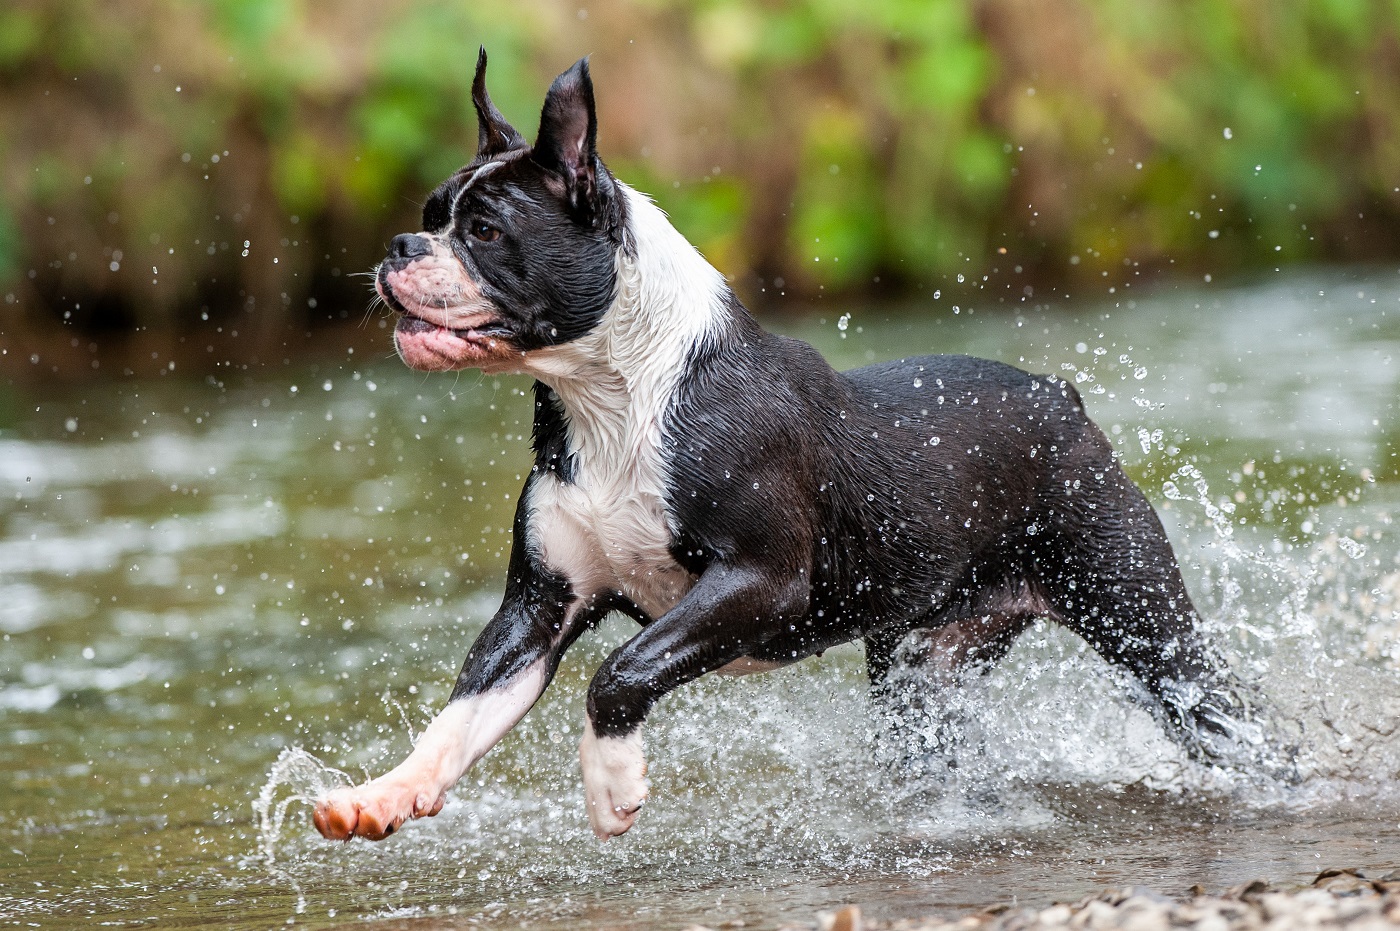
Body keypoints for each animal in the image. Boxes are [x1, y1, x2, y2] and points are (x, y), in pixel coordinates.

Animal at [312, 50, 1254, 840]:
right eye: (430, 216)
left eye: (485, 233)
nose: (401, 244)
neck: (616, 397)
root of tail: (1063, 399)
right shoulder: (539, 607)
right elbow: (460, 713)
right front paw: (384, 793)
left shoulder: (759, 581)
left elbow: (620, 669)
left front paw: (611, 785)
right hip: (924, 672)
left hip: (1145, 626)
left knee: (1232, 722)